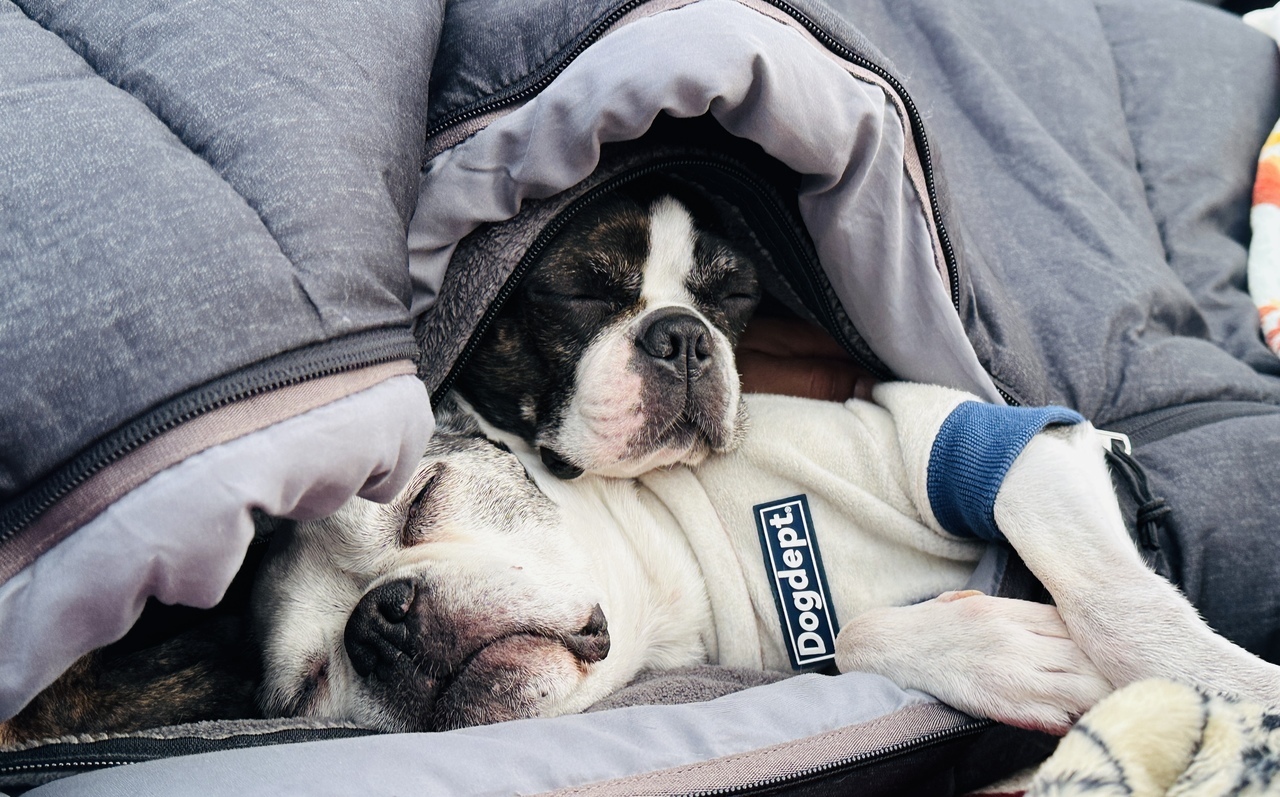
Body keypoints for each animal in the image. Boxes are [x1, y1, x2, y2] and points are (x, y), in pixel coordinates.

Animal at [251, 386, 1280, 736]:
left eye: (423, 495)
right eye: (309, 684)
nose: (379, 620)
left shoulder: (1000, 445)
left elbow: (1114, 600)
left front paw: (1236, 690)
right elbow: (855, 639)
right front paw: (1000, 653)